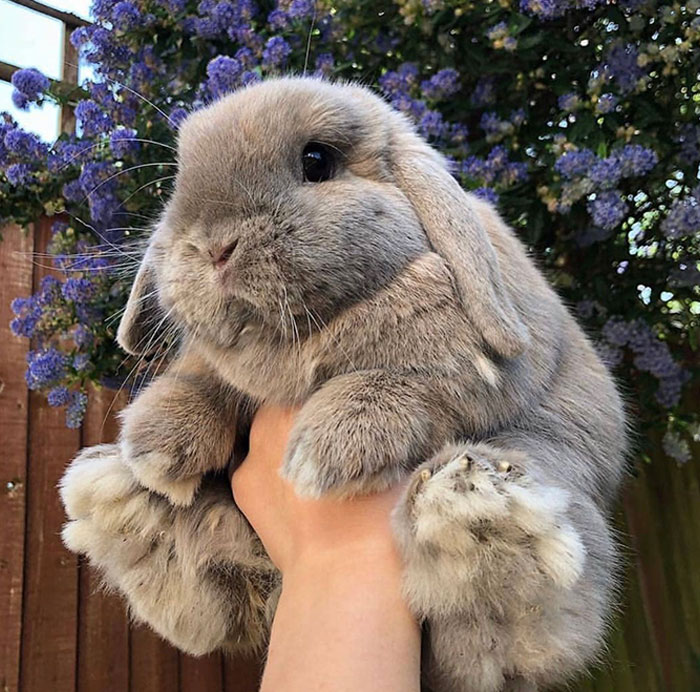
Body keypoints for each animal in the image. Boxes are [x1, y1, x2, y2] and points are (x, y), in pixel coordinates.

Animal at [60, 76, 626, 692]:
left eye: (316, 161)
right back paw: (124, 503)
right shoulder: (221, 367)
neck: (301, 336)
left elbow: (410, 385)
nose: (213, 247)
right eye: (177, 183)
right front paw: (158, 445)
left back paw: (473, 513)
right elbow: (205, 378)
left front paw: (328, 449)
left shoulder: (474, 369)